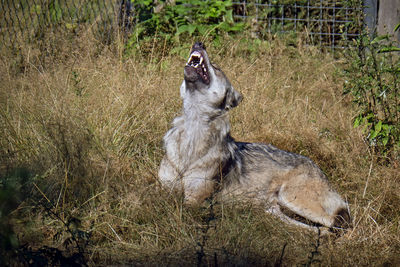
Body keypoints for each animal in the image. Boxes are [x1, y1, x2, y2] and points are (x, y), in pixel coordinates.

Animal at [158, 42, 352, 232]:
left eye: (217, 67)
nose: (199, 43)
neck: (192, 132)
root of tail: (318, 168)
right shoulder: (164, 189)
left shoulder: (194, 201)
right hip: (274, 210)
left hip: (292, 197)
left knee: (339, 223)